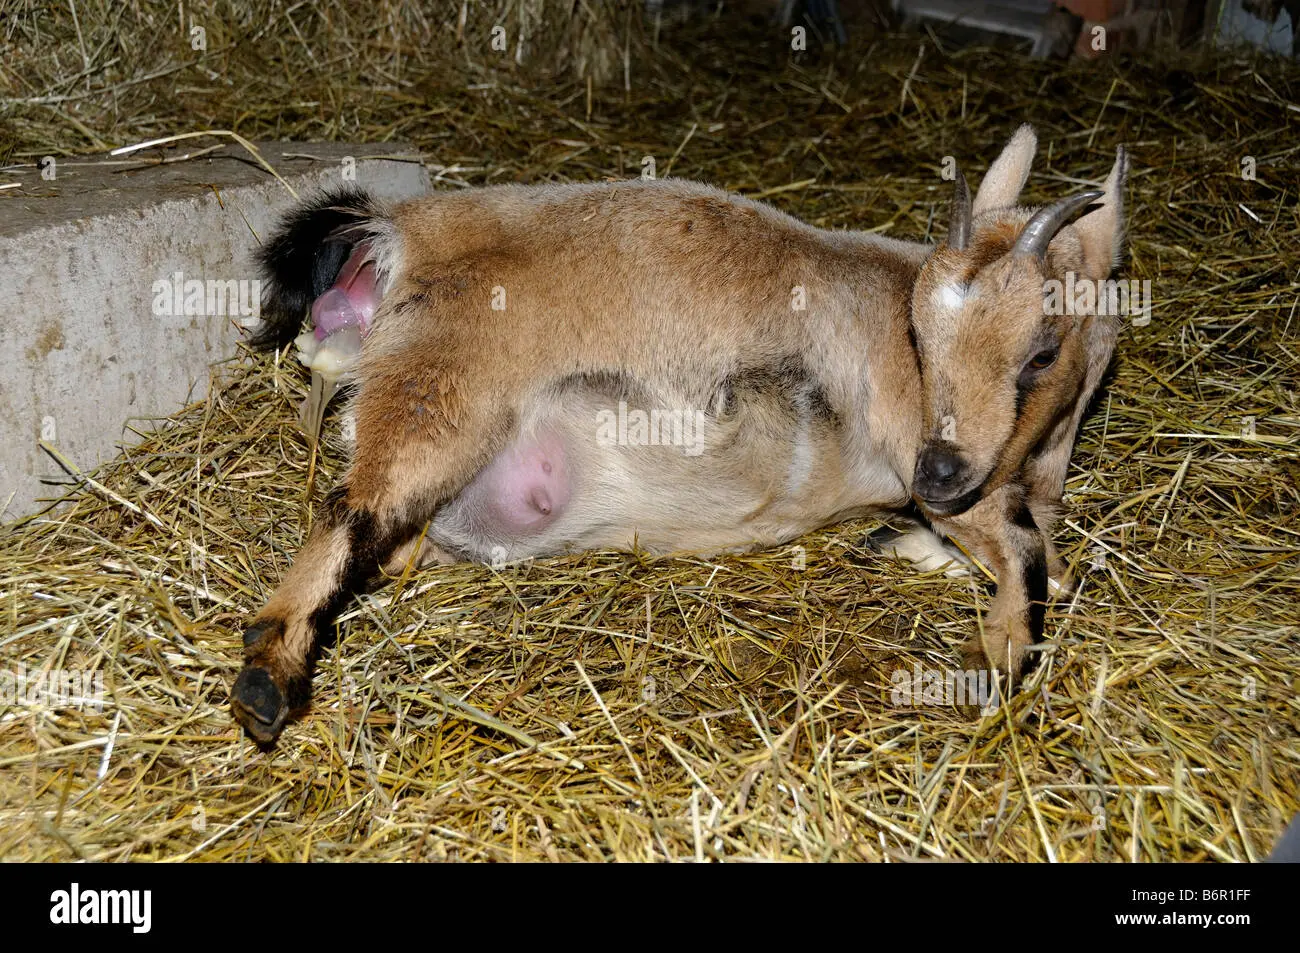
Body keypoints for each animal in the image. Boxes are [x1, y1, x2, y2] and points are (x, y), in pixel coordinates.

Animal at [232, 125, 1128, 745]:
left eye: (1041, 348)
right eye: (921, 333)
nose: (940, 472)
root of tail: (400, 230)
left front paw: (912, 551)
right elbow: (1033, 554)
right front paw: (996, 658)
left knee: (392, 539)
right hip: (444, 383)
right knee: (350, 508)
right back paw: (268, 675)